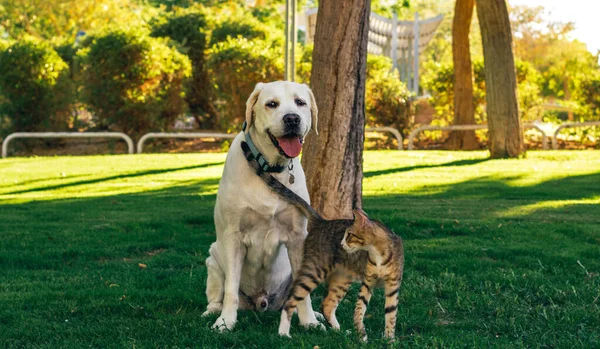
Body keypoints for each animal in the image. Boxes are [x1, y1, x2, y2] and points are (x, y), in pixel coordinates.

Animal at [203, 80, 324, 330]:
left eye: (300, 102)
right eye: (271, 104)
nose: (292, 119)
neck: (268, 169)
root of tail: (261, 301)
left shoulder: (297, 238)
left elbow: (304, 294)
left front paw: (308, 321)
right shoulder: (233, 237)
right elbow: (230, 289)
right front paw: (225, 322)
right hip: (213, 260)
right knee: (218, 293)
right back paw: (213, 311)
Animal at [241, 140, 406, 338]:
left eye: (349, 235)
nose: (341, 243)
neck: (379, 255)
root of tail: (322, 221)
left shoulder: (393, 287)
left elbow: (391, 315)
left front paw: (389, 340)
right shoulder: (367, 283)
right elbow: (360, 310)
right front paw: (363, 335)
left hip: (342, 279)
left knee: (327, 305)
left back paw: (339, 331)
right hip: (314, 271)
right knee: (290, 302)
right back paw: (284, 334)